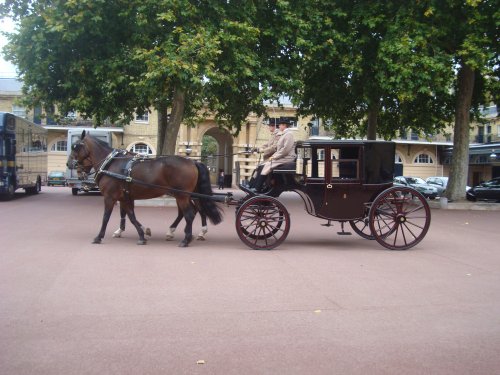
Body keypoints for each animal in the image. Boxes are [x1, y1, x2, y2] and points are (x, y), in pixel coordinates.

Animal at [67, 131, 223, 248]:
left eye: (76, 146)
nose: (69, 164)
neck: (112, 164)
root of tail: (192, 161)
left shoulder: (110, 197)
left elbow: (106, 217)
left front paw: (99, 237)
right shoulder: (125, 197)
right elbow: (131, 216)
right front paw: (142, 233)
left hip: (182, 195)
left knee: (190, 214)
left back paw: (186, 239)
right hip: (184, 195)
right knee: (191, 212)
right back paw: (178, 232)